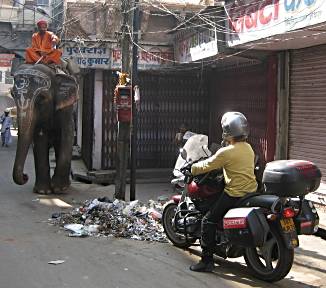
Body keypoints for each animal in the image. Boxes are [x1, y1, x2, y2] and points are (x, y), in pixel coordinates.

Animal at [11, 62, 78, 194]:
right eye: (12, 95)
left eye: (41, 98)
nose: (25, 176)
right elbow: (40, 138)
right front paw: (43, 191)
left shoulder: (66, 108)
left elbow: (67, 133)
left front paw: (58, 189)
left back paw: (65, 186)